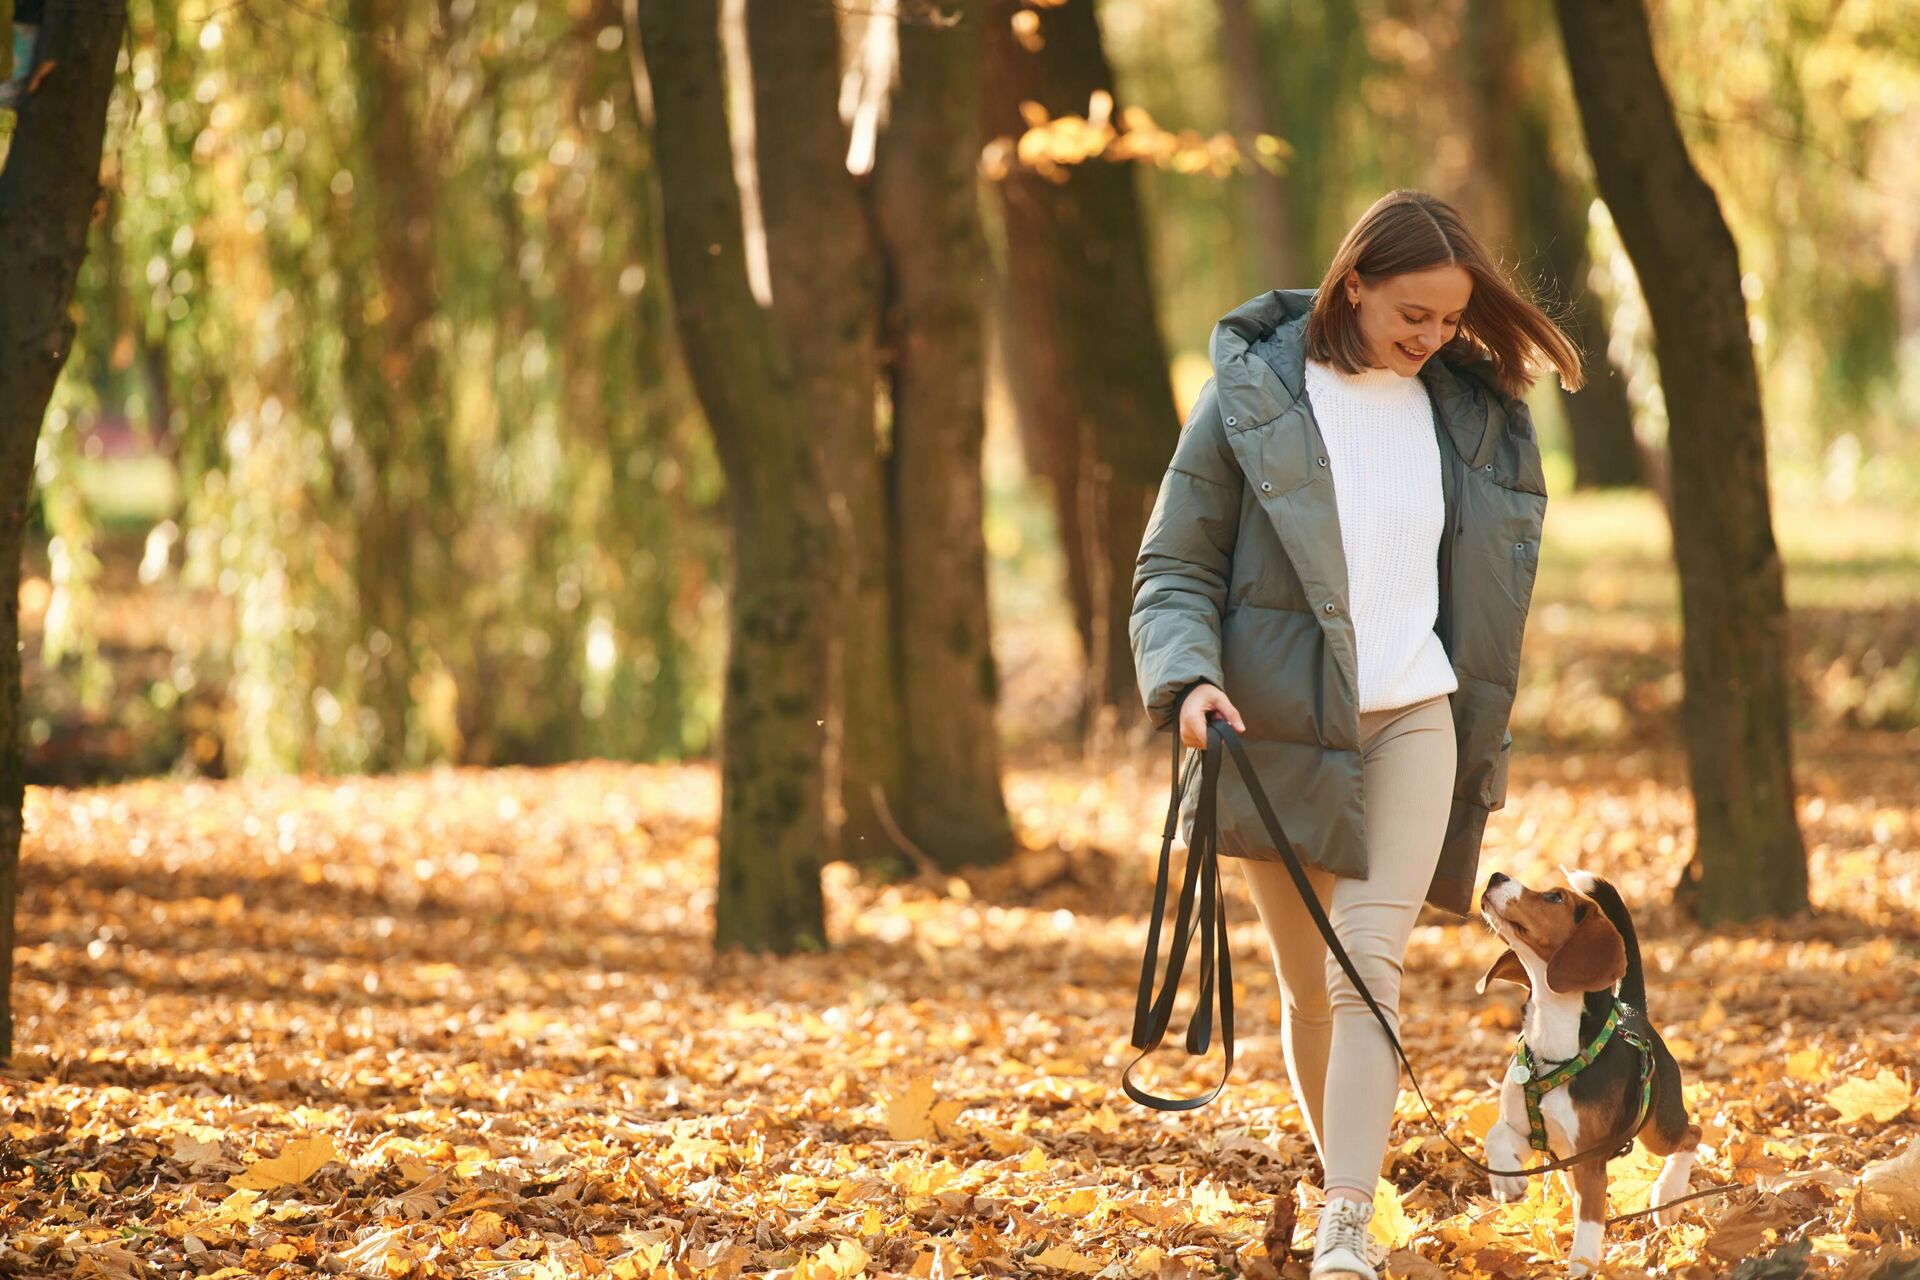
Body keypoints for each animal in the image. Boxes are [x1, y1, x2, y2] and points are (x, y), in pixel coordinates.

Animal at [1474, 867, 1704, 1274]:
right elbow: (1494, 1135)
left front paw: (1581, 1268)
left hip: (1658, 1127)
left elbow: (1588, 1227)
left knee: (1692, 1133)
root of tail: (1633, 1010)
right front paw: (1505, 1183)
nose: (1496, 876)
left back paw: (1667, 1194)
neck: (1554, 1045)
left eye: (1554, 897)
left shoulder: (1591, 1162)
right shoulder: (1531, 1134)